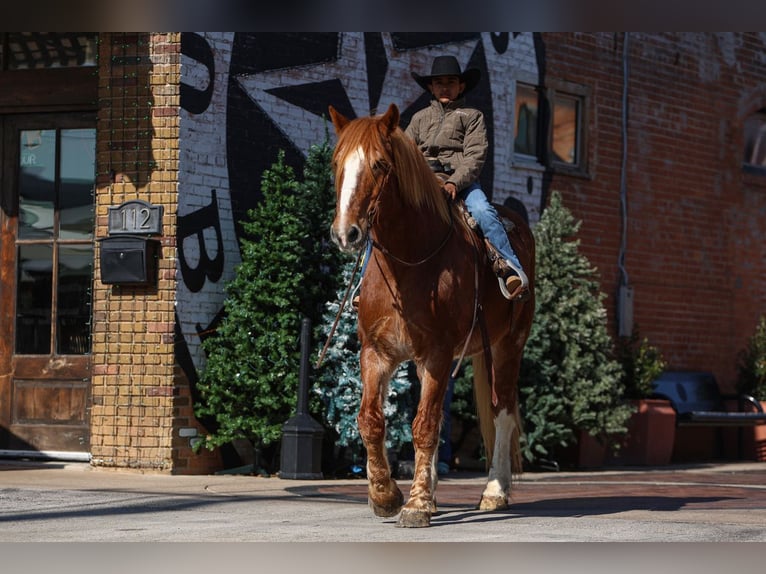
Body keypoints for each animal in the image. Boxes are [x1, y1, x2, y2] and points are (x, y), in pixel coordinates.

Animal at [328, 104, 536, 532]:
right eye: (337, 163)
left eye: (379, 164)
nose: (345, 234)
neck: (409, 263)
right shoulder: (377, 353)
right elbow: (372, 420)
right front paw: (386, 496)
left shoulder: (439, 354)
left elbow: (423, 427)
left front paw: (417, 504)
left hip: (508, 346)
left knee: (503, 411)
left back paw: (495, 491)